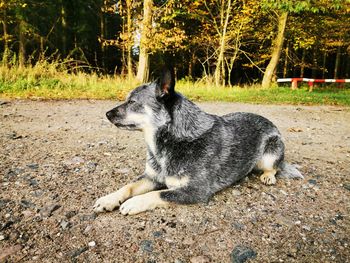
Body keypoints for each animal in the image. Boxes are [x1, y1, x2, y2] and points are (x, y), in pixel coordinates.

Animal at [93, 68, 304, 217]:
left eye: (132, 102)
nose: (107, 114)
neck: (172, 139)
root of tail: (269, 121)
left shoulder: (195, 190)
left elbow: (159, 194)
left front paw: (134, 202)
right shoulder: (151, 177)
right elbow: (128, 186)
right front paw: (109, 199)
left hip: (270, 153)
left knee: (275, 167)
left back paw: (268, 176)